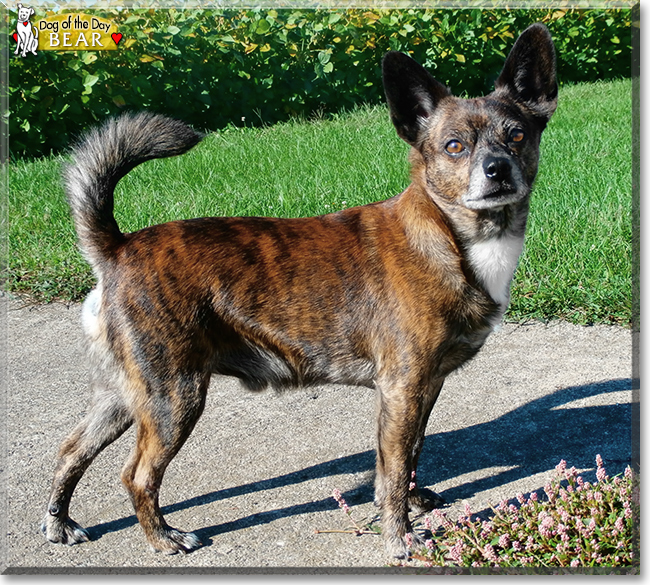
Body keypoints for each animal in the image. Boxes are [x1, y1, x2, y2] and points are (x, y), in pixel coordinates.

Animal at [43, 25, 556, 560]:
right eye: (454, 146)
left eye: (518, 136)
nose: (497, 168)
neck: (449, 235)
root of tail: (117, 247)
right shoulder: (403, 387)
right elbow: (394, 467)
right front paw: (399, 535)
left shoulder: (423, 388)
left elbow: (410, 451)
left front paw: (411, 502)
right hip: (174, 397)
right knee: (138, 474)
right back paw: (162, 537)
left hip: (126, 394)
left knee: (71, 449)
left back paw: (59, 521)